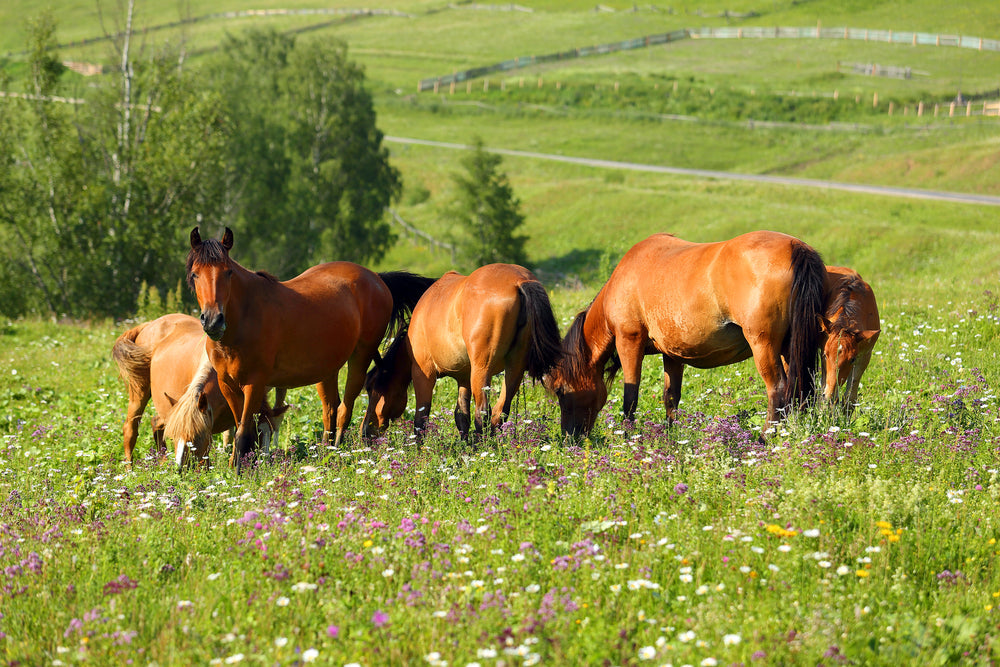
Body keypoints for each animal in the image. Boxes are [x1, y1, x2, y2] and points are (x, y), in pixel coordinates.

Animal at [112, 314, 287, 469]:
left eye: (270, 433)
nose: (180, 468)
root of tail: (149, 324)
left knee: (156, 423)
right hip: (139, 391)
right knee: (130, 429)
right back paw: (130, 470)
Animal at [185, 226, 433, 472]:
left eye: (228, 273)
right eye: (195, 274)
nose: (213, 320)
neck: (242, 322)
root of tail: (376, 278)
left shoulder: (254, 384)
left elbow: (244, 433)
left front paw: (241, 473)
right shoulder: (228, 385)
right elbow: (242, 430)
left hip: (360, 358)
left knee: (345, 409)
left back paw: (339, 453)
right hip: (327, 369)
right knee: (330, 410)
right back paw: (325, 453)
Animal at [361, 264, 563, 440]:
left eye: (370, 388)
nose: (364, 432)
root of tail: (519, 281)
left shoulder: (423, 373)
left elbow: (421, 420)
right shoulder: (464, 378)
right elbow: (462, 416)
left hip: (482, 371)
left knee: (483, 413)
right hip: (514, 368)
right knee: (500, 412)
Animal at [547, 231, 826, 436]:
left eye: (560, 390)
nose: (569, 437)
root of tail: (796, 247)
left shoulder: (629, 342)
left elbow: (630, 398)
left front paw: (628, 438)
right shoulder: (672, 354)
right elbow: (671, 398)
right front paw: (671, 438)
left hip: (764, 345)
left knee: (778, 389)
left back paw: (765, 438)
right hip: (790, 349)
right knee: (798, 388)